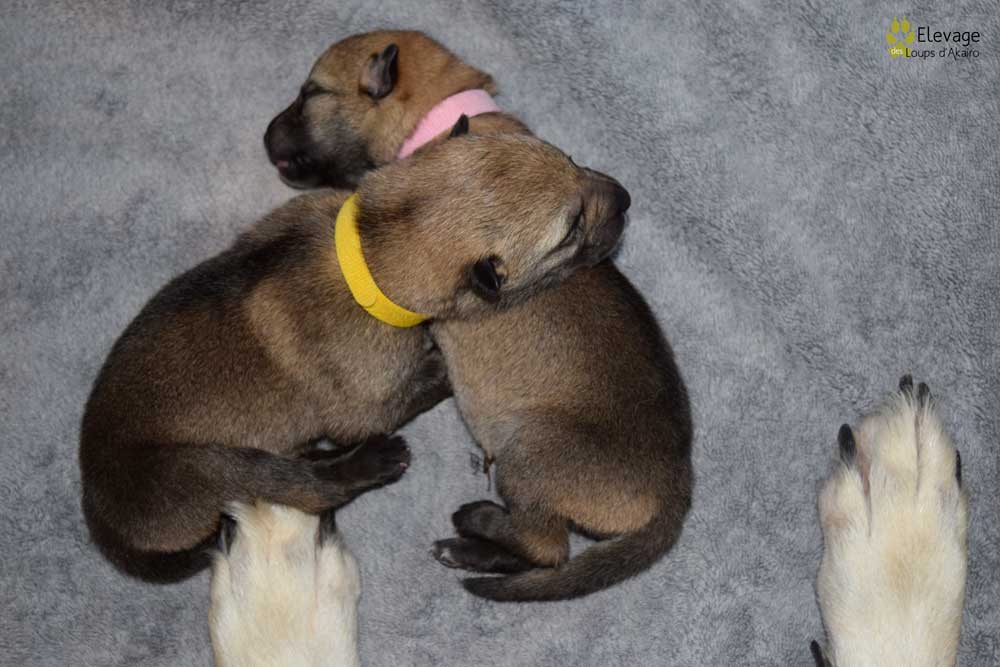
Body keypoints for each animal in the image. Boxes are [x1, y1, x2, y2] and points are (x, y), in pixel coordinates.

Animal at [79, 130, 628, 582]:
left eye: (569, 157)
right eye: (571, 228)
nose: (626, 196)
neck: (372, 249)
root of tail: (100, 514)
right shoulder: (365, 406)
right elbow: (424, 381)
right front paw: (436, 360)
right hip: (210, 468)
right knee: (308, 487)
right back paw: (371, 461)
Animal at [265, 31, 692, 602]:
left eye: (311, 92)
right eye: (569, 157)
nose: (267, 137)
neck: (436, 118)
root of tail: (674, 491)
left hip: (528, 449)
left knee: (547, 548)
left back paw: (476, 526)